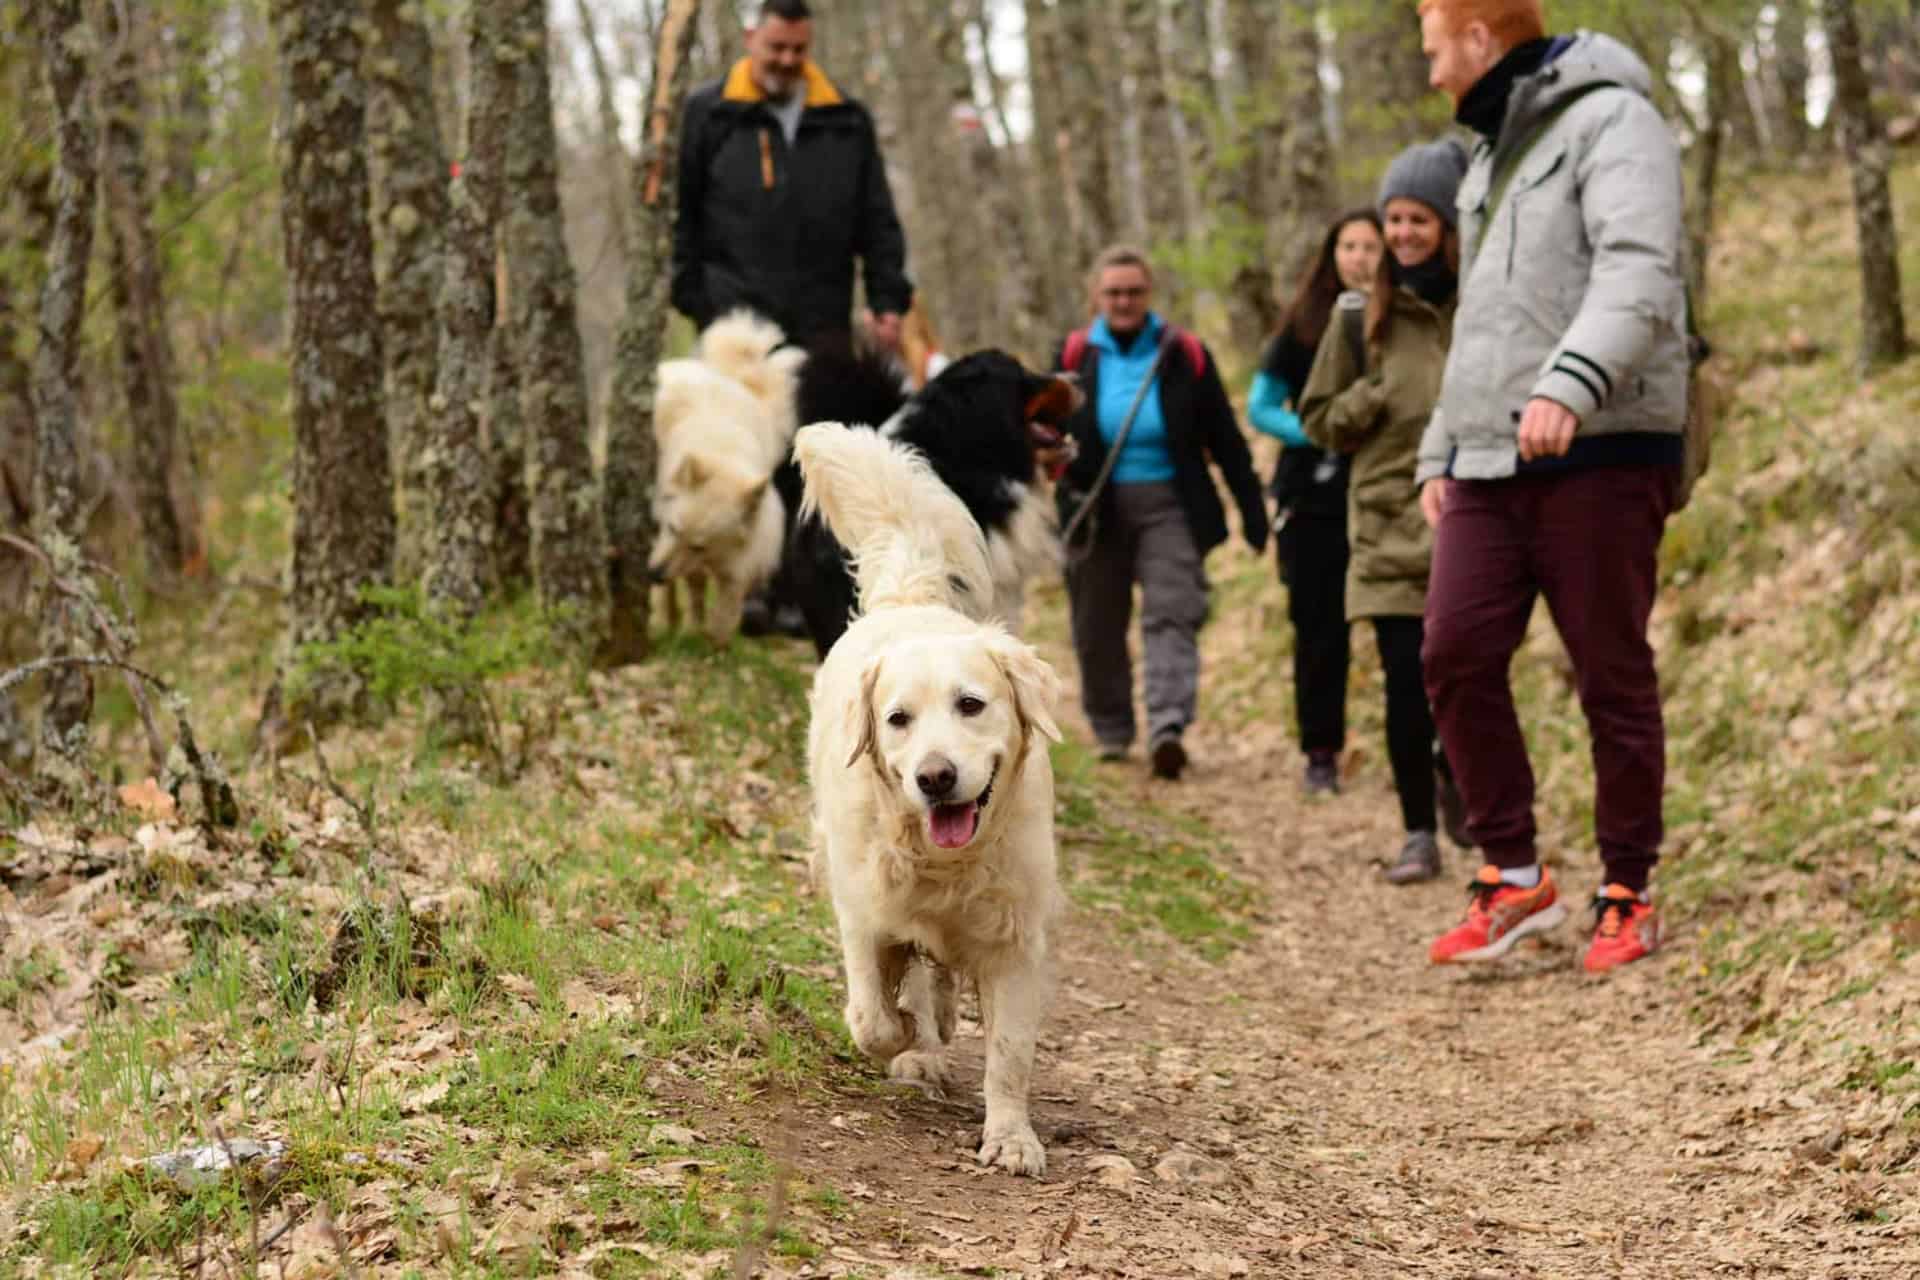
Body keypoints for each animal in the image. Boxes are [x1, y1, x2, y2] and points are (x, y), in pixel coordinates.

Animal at [641, 308, 798, 644]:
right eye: (673, 528)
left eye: (699, 545)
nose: (654, 573)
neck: (720, 449)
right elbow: (689, 586)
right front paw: (683, 628)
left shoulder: (736, 558)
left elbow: (726, 600)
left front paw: (715, 640)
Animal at [794, 422, 1067, 1182]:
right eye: (898, 720)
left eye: (971, 704)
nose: (936, 778)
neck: (948, 863)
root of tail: (906, 598)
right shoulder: (864, 910)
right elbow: (872, 1017)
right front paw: (906, 1040)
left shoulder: (1016, 942)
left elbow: (1009, 1053)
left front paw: (1011, 1137)